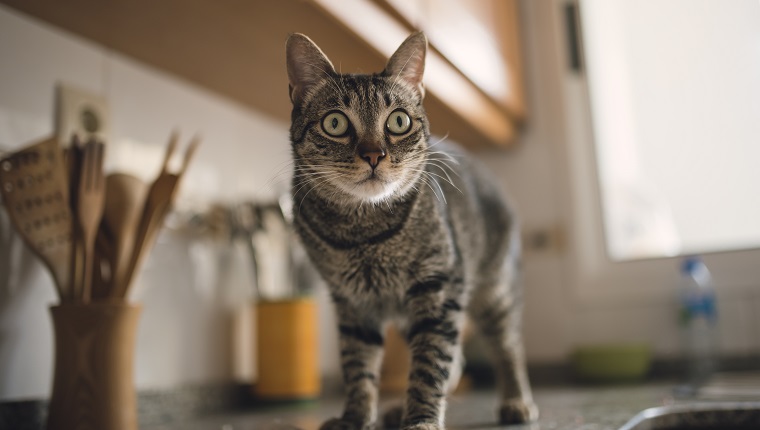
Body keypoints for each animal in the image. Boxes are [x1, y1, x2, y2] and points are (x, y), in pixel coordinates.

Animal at [284, 31, 540, 428]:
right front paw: (355, 417)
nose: (374, 155)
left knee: (508, 347)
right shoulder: (351, 304)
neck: (364, 233)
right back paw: (396, 409)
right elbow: (357, 367)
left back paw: (516, 400)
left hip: (496, 292)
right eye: (335, 124)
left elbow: (430, 365)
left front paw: (421, 419)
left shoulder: (438, 289)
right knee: (458, 359)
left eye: (399, 122)